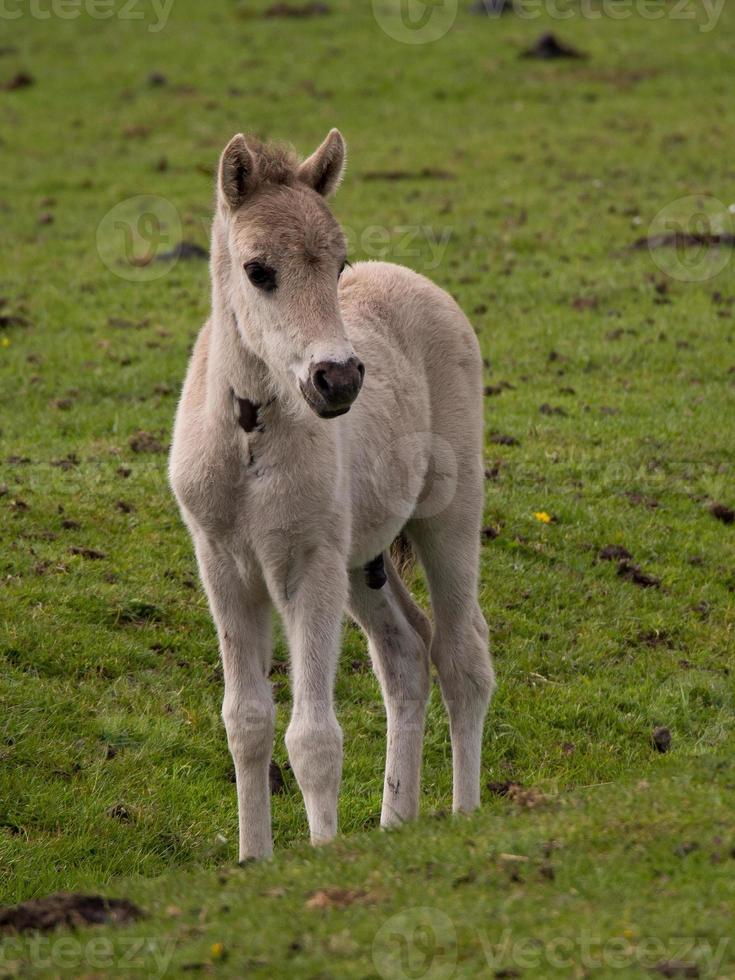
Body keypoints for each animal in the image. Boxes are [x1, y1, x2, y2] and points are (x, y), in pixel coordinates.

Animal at [170, 130, 498, 856]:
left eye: (338, 262)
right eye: (258, 270)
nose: (339, 379)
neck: (250, 440)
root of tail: (416, 280)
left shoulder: (308, 565)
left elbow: (313, 736)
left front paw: (322, 856)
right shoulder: (224, 567)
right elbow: (247, 721)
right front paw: (255, 859)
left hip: (447, 516)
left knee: (462, 655)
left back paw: (464, 813)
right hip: (361, 561)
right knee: (406, 653)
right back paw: (396, 821)